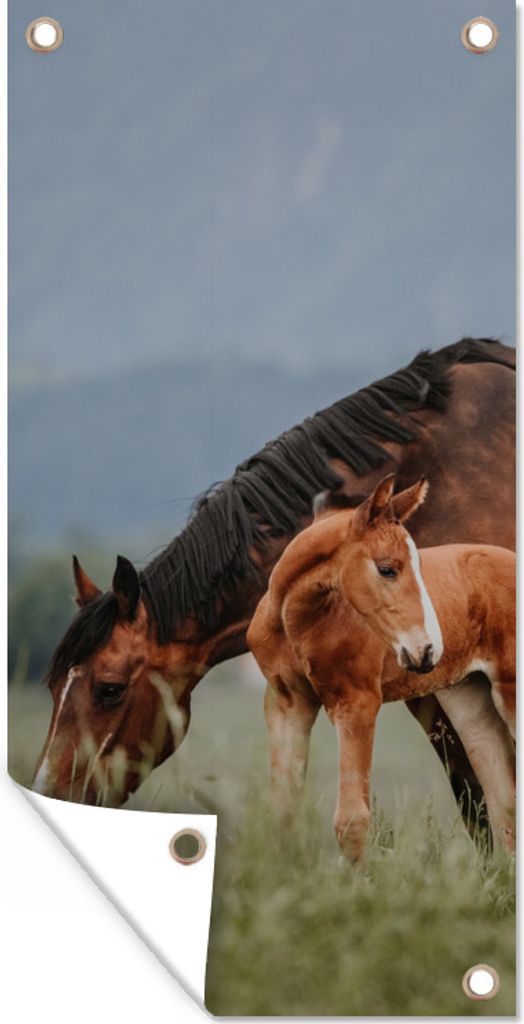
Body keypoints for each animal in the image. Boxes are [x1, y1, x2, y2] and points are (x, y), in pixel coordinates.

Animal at [247, 475, 516, 862]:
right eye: (387, 569)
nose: (427, 650)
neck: (296, 622)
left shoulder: (356, 704)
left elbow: (352, 821)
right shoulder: (287, 704)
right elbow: (284, 813)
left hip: (509, 689)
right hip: (469, 698)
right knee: (502, 798)